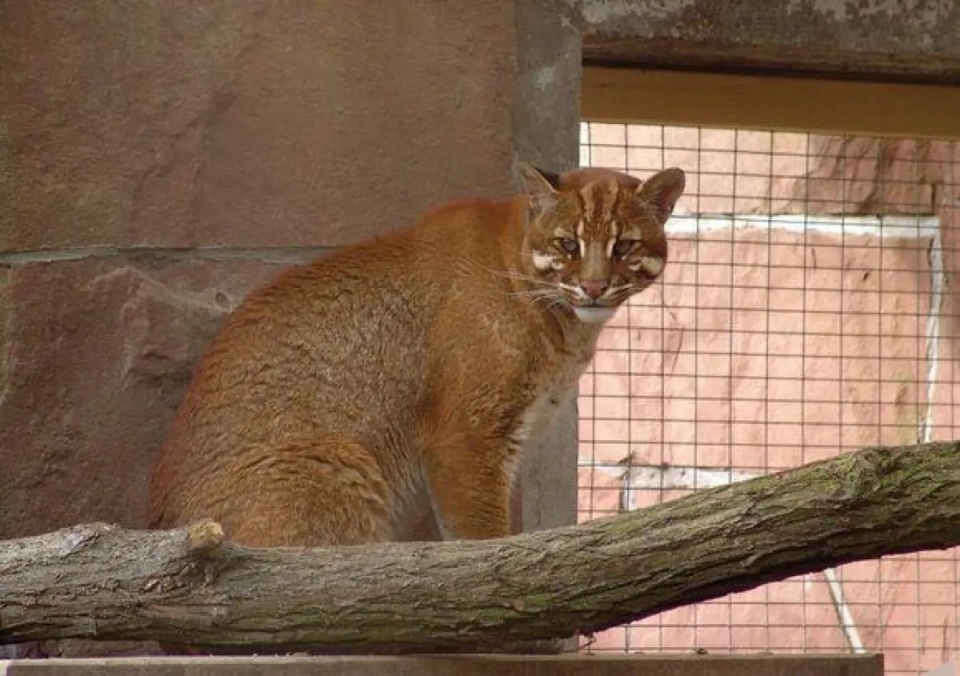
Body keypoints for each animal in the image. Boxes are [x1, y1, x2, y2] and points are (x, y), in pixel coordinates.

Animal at [148, 165, 684, 548]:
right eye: (567, 244)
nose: (594, 286)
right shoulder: (465, 437)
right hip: (339, 456)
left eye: (625, 245)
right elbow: (479, 539)